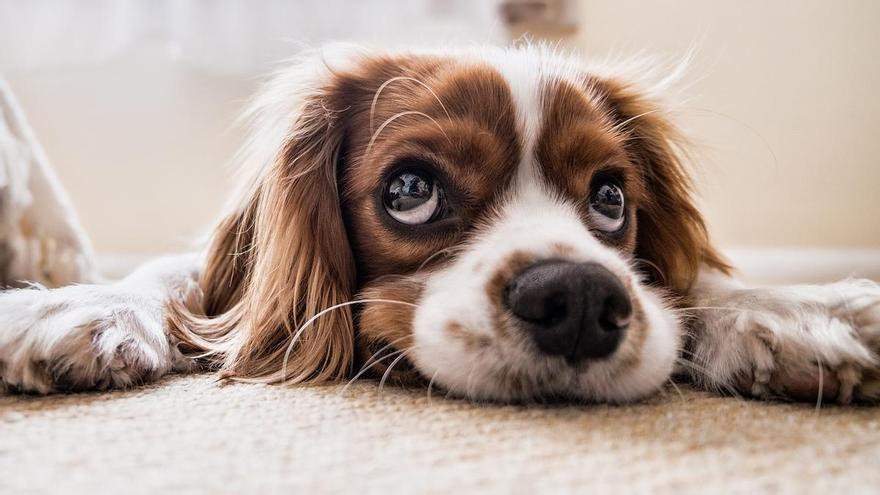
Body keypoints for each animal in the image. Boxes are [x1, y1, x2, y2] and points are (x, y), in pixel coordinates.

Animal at [1, 44, 880, 404]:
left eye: (611, 199)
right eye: (410, 189)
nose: (579, 299)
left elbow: (696, 283)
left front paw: (795, 311)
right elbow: (175, 277)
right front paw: (76, 307)